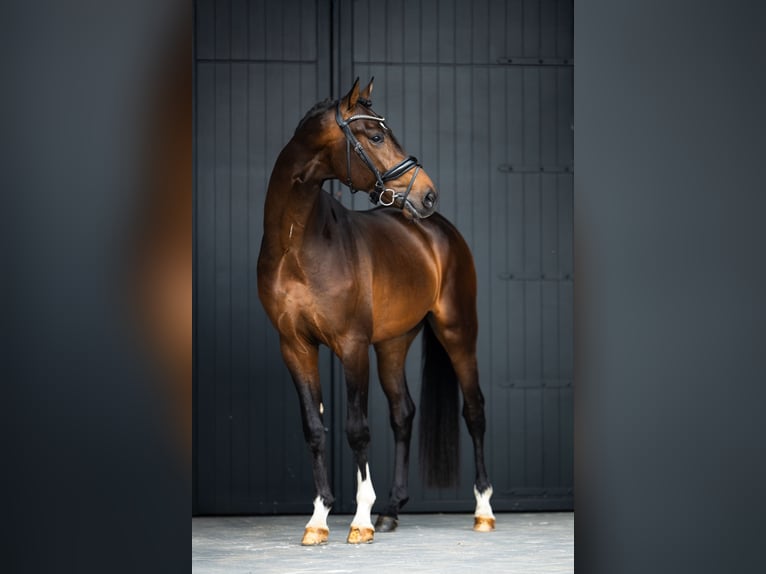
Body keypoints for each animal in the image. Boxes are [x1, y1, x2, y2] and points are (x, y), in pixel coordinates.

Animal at [257, 78, 495, 545]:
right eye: (376, 136)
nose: (427, 194)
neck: (296, 244)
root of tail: (439, 229)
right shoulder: (294, 346)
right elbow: (315, 429)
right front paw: (318, 519)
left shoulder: (351, 345)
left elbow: (356, 428)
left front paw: (360, 519)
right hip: (392, 344)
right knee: (403, 413)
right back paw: (392, 510)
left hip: (458, 331)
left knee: (474, 410)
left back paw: (483, 511)